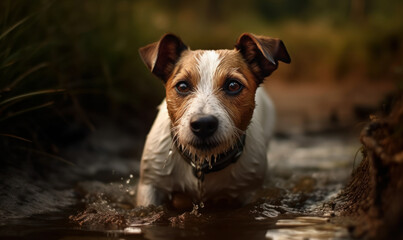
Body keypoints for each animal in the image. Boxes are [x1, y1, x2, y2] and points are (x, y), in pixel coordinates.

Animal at [137, 32, 290, 209]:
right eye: (182, 86)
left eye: (233, 85)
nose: (203, 124)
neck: (202, 164)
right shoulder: (151, 185)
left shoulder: (249, 190)